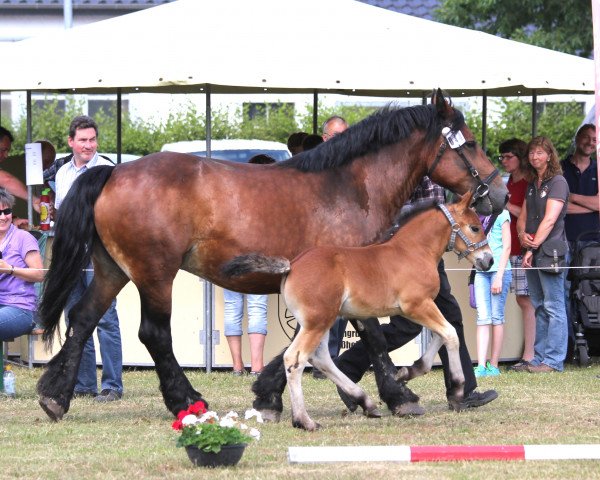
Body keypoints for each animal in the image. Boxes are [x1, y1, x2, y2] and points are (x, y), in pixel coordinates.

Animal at [225, 191, 492, 432]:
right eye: (475, 227)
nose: (488, 260)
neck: (412, 251)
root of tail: (291, 266)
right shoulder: (417, 305)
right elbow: (450, 334)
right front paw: (457, 390)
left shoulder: (422, 307)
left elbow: (443, 333)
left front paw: (408, 372)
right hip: (317, 322)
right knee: (295, 359)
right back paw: (305, 421)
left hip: (321, 321)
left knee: (320, 359)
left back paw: (365, 402)